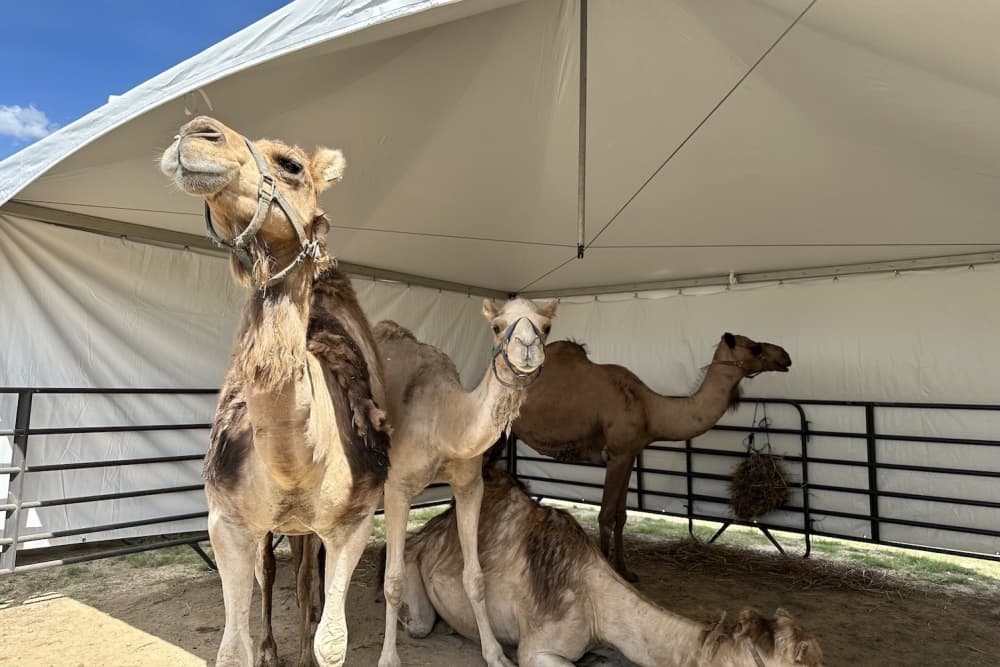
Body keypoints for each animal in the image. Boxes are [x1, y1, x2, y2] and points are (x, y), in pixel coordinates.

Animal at [160, 116, 391, 667]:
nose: (196, 133)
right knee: (271, 575)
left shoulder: (353, 523)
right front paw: (265, 649)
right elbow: (232, 647)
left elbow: (333, 641)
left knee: (307, 576)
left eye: (290, 164)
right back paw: (273, 644)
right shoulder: (227, 522)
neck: (296, 464)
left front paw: (310, 649)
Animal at [375, 298, 557, 667]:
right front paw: (388, 658)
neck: (441, 420)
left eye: (545, 327)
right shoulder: (396, 488)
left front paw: (496, 654)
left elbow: (474, 577)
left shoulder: (470, 485)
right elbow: (394, 579)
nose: (527, 346)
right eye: (497, 326)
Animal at [506, 333, 791, 581]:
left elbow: (621, 515)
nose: (786, 356)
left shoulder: (629, 454)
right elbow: (606, 515)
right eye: (755, 347)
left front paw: (626, 572)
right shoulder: (618, 453)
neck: (651, 408)